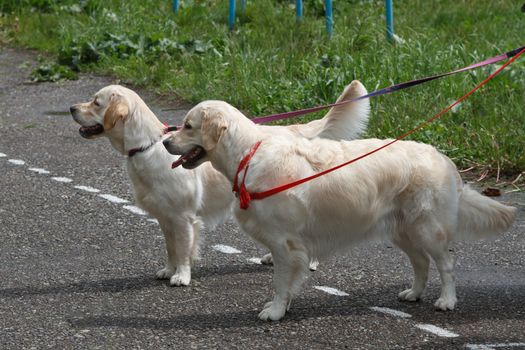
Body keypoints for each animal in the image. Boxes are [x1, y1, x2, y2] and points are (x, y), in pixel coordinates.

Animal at [69, 82, 370, 288]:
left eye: (96, 102)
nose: (71, 108)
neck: (146, 146)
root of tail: (296, 130)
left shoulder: (183, 218)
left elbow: (183, 249)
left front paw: (181, 275)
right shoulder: (165, 218)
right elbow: (171, 248)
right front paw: (168, 270)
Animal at [163, 100, 516, 320]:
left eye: (188, 126)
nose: (165, 142)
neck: (249, 154)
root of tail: (445, 160)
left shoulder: (284, 244)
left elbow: (280, 282)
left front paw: (274, 311)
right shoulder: (290, 246)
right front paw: (284, 307)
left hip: (427, 228)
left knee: (446, 263)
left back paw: (447, 300)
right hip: (402, 230)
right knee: (421, 263)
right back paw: (414, 293)